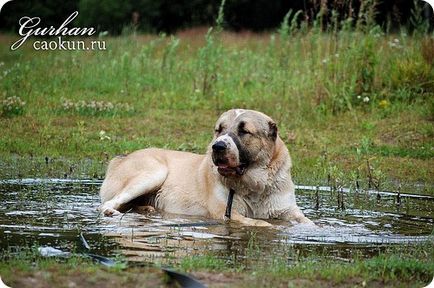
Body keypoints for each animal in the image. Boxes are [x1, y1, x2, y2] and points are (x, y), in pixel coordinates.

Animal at [99, 109, 312, 226]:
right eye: (219, 129)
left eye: (244, 131)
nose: (217, 146)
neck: (255, 186)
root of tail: (120, 158)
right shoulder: (225, 214)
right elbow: (261, 223)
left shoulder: (288, 210)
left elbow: (307, 222)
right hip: (154, 172)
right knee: (108, 203)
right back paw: (112, 212)